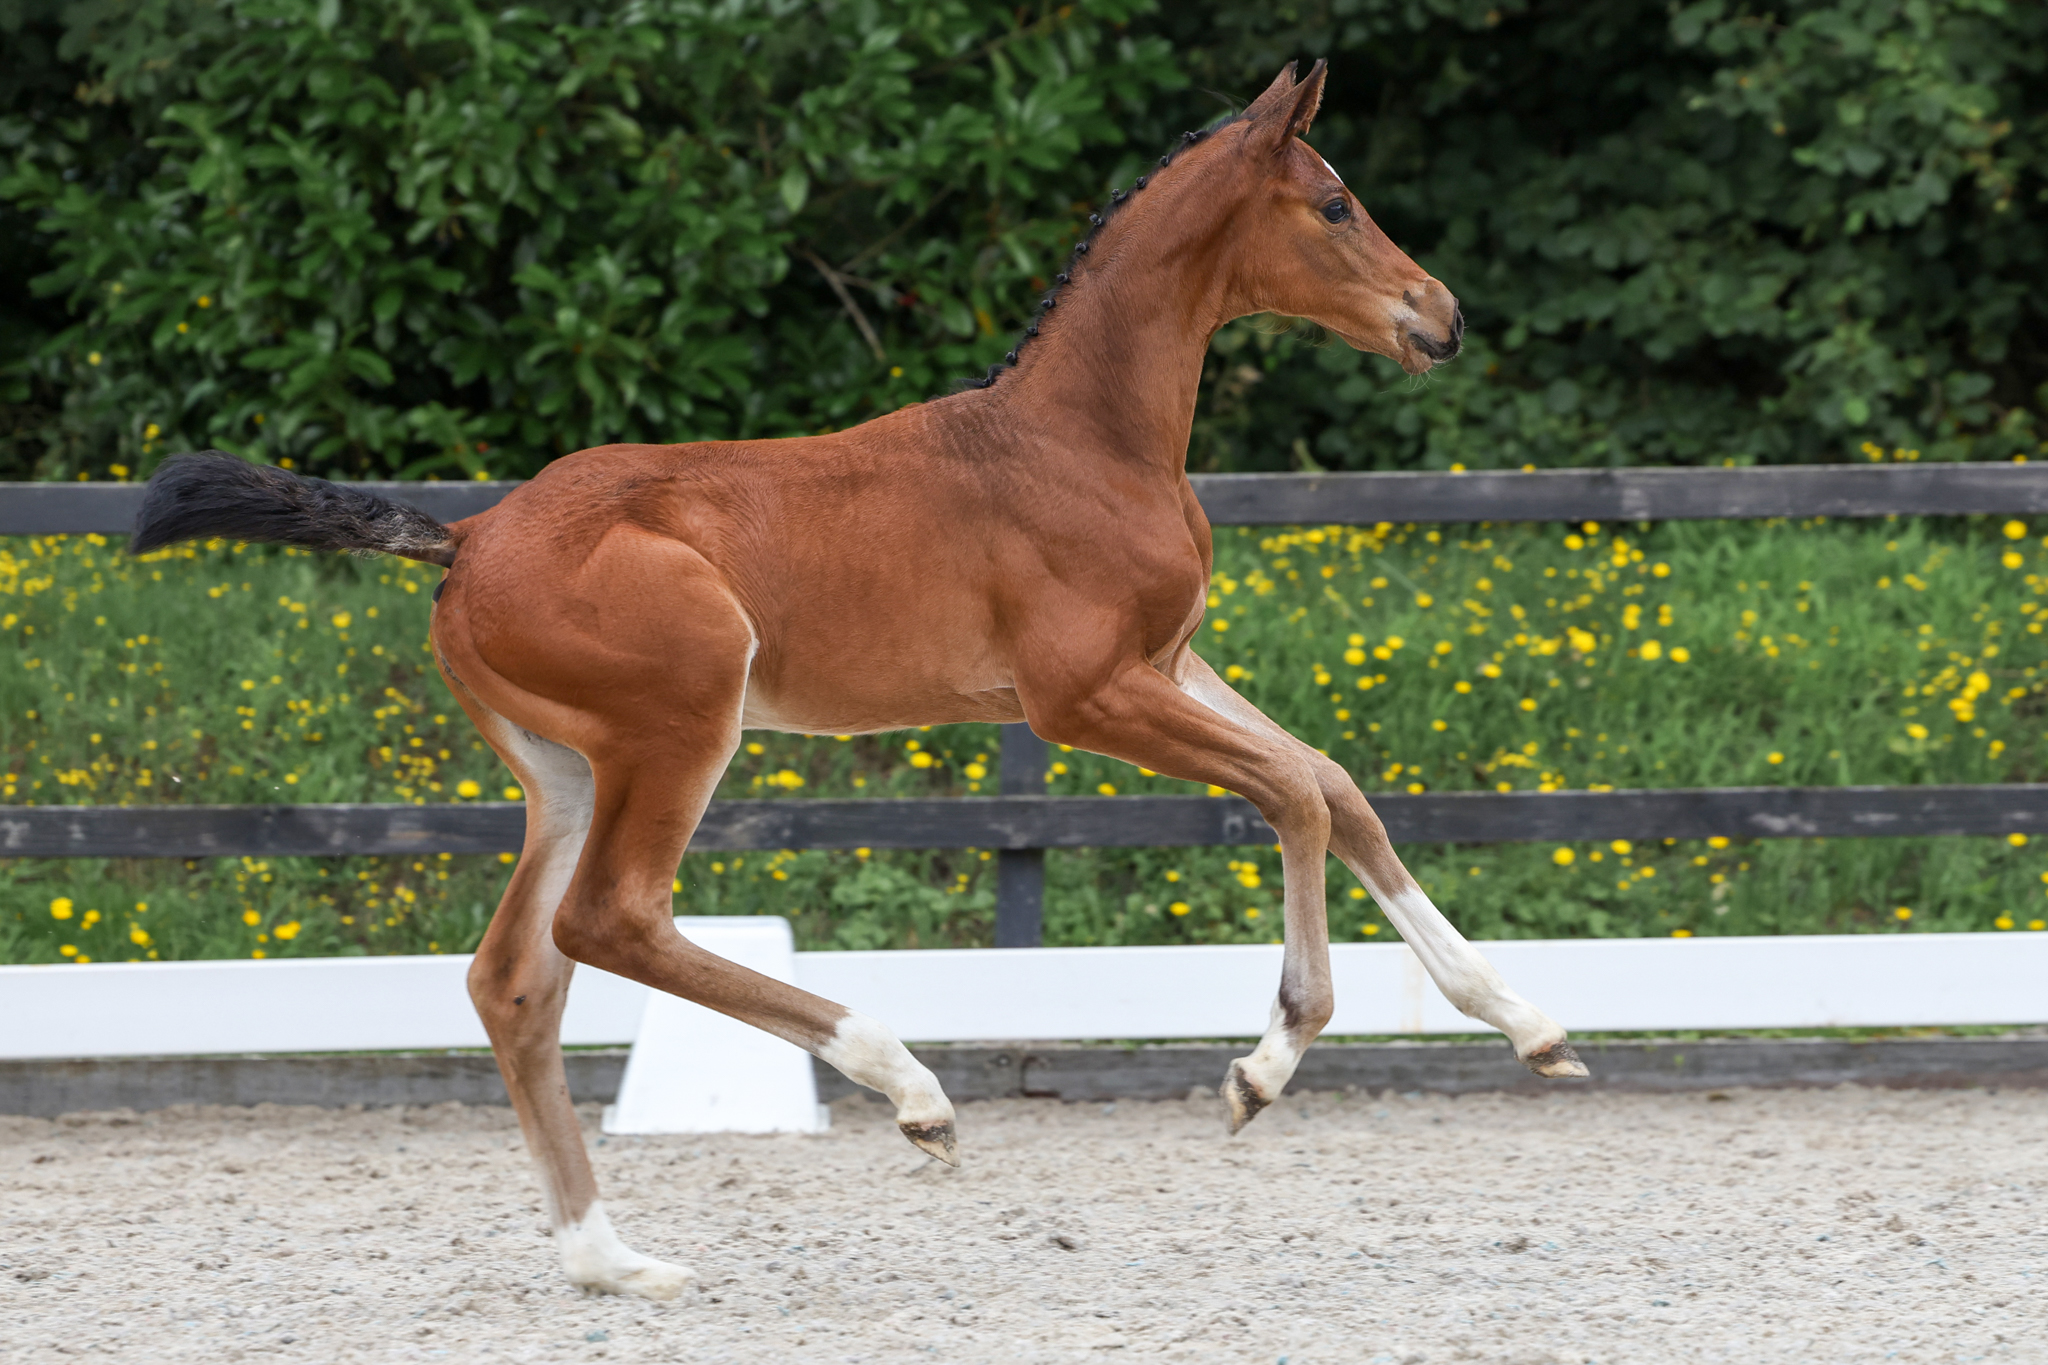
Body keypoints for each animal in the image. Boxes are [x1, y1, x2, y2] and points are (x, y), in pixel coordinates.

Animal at [133, 60, 1585, 1301]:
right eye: (1333, 202)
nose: (1441, 316)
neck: (1082, 439)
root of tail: (467, 534)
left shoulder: (1167, 663)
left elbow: (1335, 785)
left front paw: (1529, 1028)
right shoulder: (1082, 698)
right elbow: (1289, 792)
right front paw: (1264, 1064)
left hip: (563, 768)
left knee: (515, 980)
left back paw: (612, 1260)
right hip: (681, 723)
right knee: (611, 922)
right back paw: (912, 1094)